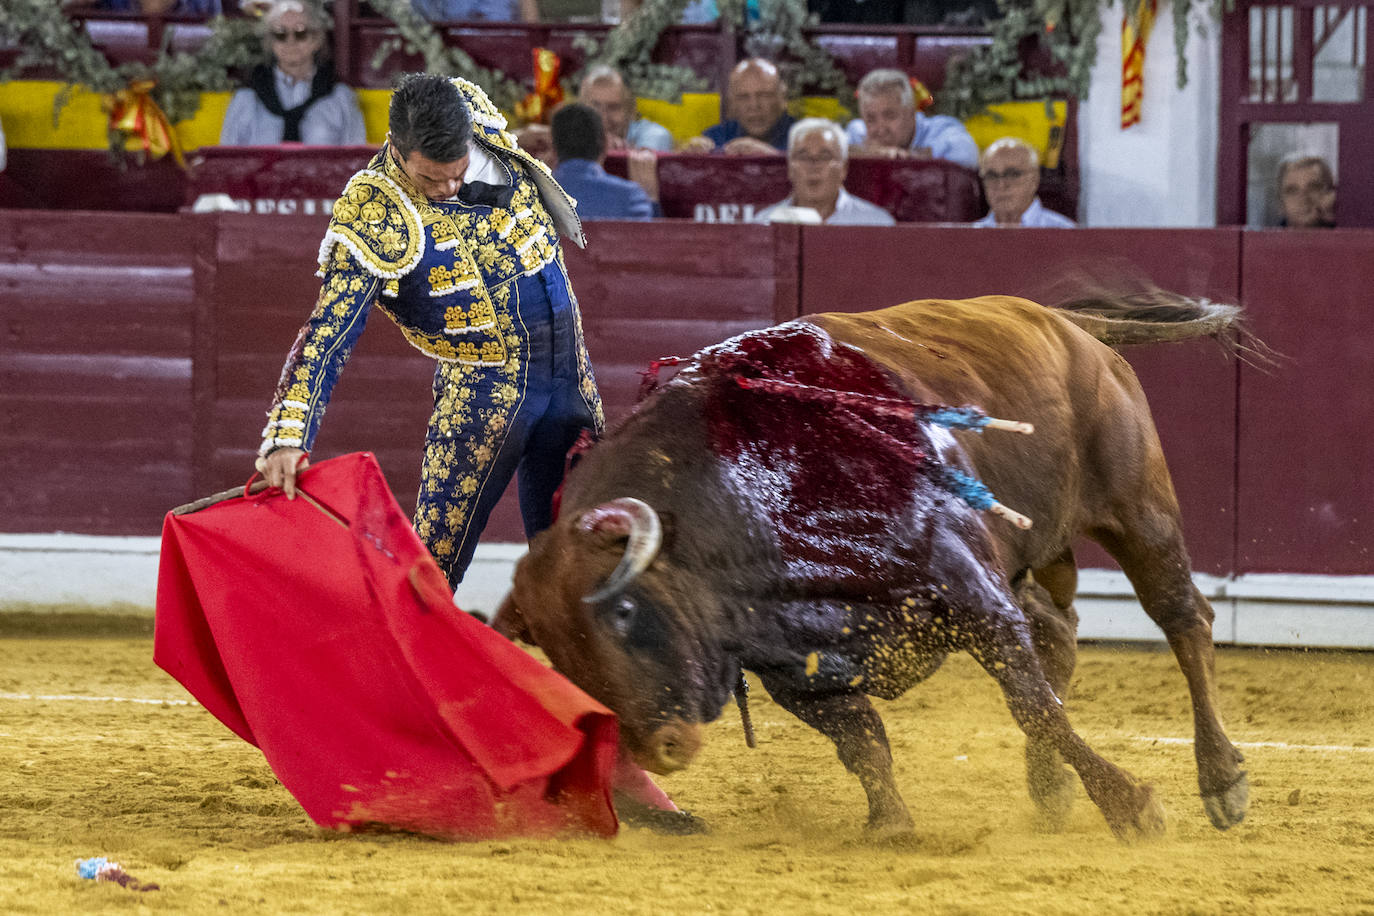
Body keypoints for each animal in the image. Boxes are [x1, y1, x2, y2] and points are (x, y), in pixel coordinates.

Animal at [497, 298, 1258, 840]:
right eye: (560, 655)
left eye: (624, 610)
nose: (660, 748)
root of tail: (1069, 324)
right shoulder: (792, 668)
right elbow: (862, 741)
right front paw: (889, 824)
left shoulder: (974, 595)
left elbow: (1034, 707)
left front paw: (1131, 806)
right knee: (1061, 632)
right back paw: (1049, 788)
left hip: (1137, 510)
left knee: (1183, 619)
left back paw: (1220, 779)